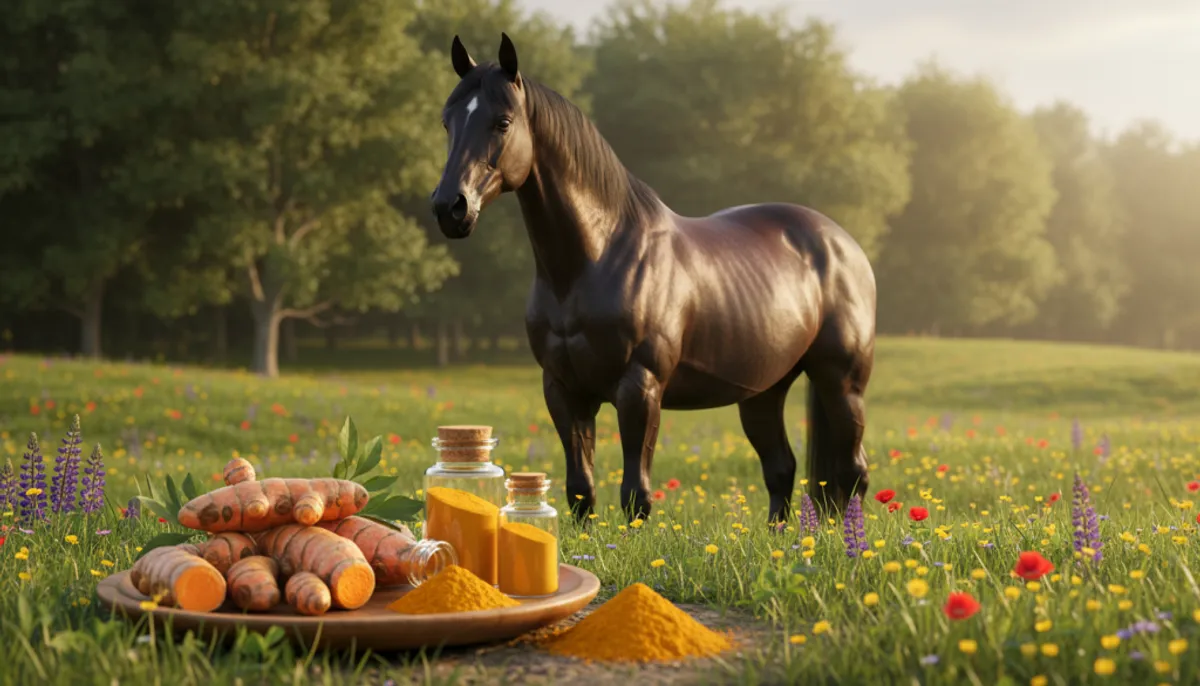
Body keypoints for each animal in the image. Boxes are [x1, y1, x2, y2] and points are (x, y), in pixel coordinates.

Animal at [429, 34, 876, 523]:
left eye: (503, 122)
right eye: (447, 121)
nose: (450, 207)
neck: (594, 259)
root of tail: (843, 245)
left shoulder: (639, 387)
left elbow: (635, 494)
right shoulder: (564, 390)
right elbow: (580, 490)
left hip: (841, 382)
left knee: (852, 472)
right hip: (763, 390)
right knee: (782, 469)